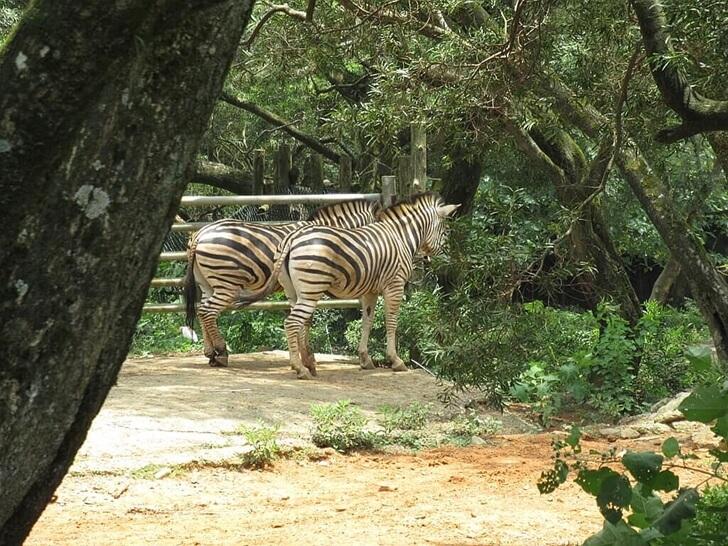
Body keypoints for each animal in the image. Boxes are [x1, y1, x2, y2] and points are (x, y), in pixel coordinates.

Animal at [185, 197, 382, 366]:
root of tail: (200, 234)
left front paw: (303, 355)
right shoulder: (310, 285)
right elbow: (306, 319)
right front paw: (307, 356)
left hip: (207, 283)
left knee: (202, 311)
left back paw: (210, 353)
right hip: (226, 282)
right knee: (208, 312)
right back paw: (221, 352)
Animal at [236, 192, 458, 378]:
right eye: (446, 232)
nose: (449, 263)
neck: (400, 237)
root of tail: (292, 238)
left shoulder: (370, 292)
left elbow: (367, 321)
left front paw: (365, 359)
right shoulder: (394, 286)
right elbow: (392, 321)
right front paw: (396, 361)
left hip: (294, 291)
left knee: (299, 322)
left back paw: (307, 364)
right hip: (311, 289)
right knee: (292, 323)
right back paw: (300, 369)